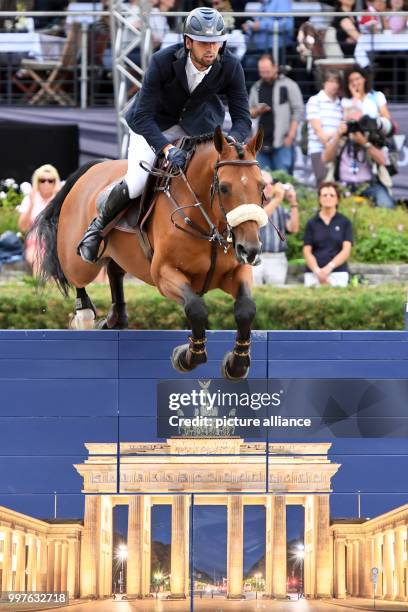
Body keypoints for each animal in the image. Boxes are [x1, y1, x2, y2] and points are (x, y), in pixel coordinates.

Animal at [34, 127, 268, 380]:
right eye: (224, 187)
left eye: (261, 187)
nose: (250, 249)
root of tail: (94, 168)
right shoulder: (164, 274)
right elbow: (195, 308)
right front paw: (187, 356)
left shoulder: (235, 272)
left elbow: (246, 308)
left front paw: (237, 364)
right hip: (80, 262)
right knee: (78, 277)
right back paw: (85, 313)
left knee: (114, 271)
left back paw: (116, 318)